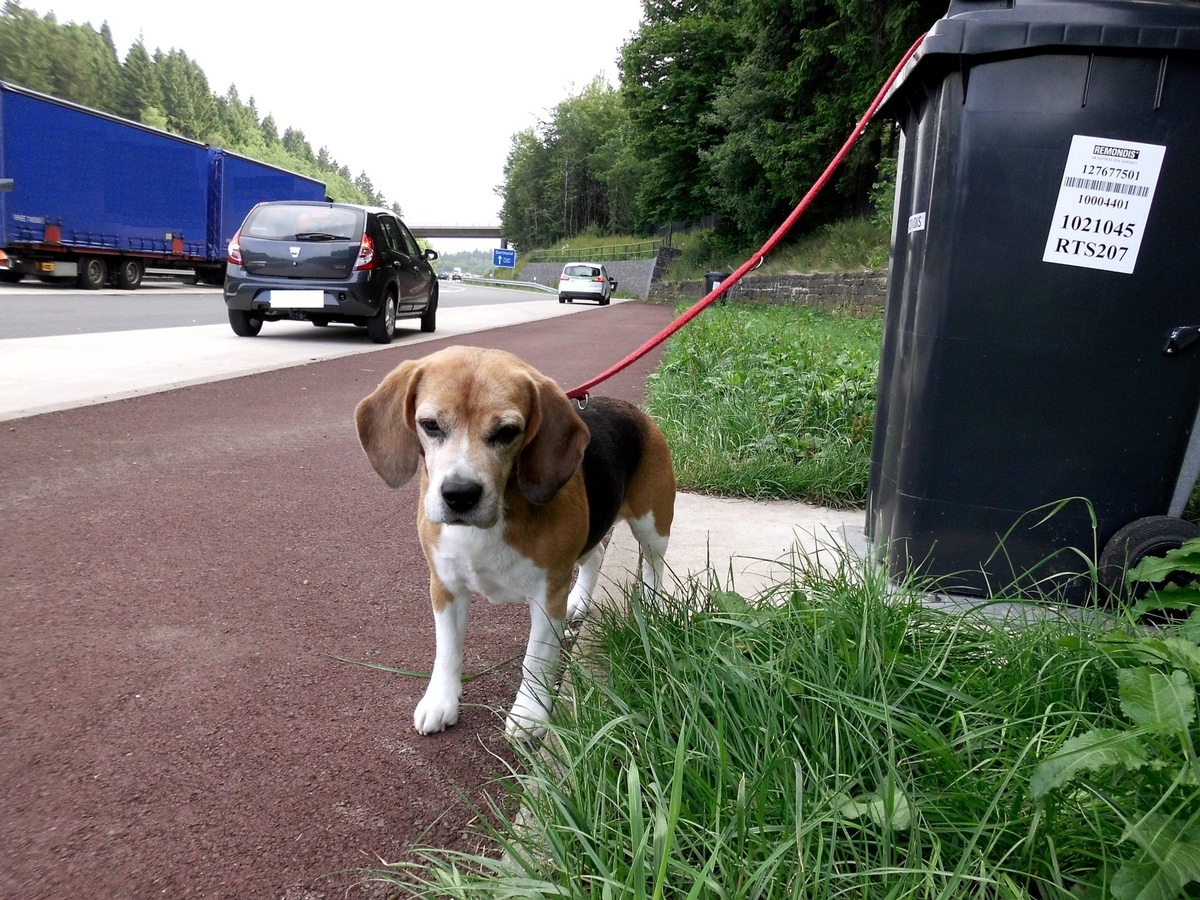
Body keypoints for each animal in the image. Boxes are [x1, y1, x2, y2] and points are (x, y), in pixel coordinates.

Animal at [355, 348, 676, 739]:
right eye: (430, 425)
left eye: (507, 432)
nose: (459, 494)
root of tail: (635, 411)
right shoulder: (444, 586)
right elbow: (447, 650)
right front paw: (440, 701)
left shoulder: (547, 595)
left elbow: (536, 659)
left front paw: (529, 713)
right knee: (596, 552)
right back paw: (580, 600)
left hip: (652, 522)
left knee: (654, 563)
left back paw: (652, 604)